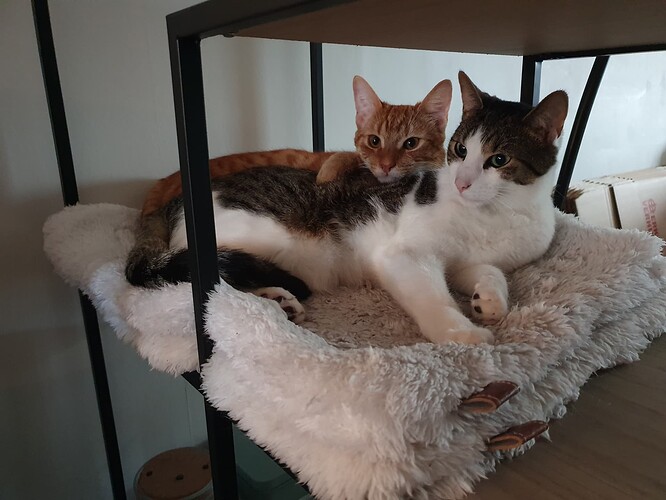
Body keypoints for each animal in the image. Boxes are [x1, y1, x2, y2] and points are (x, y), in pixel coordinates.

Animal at [130, 71, 568, 345]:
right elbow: (433, 299)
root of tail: (173, 204)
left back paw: (277, 300)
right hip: (254, 238)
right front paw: (461, 333)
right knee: (210, 282)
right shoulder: (403, 255)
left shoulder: (468, 261)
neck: (495, 214)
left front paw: (490, 301)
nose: (462, 181)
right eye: (460, 150)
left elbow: (491, 271)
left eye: (498, 160)